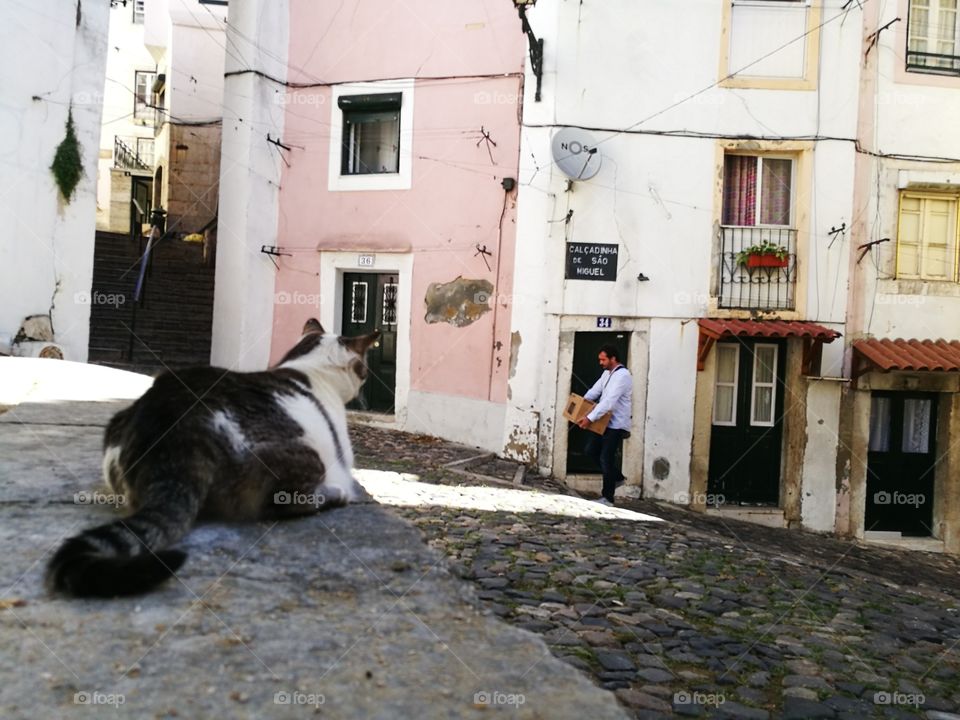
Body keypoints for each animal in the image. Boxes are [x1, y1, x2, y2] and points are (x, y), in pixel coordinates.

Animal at [46, 320, 378, 596]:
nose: (365, 383)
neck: (309, 369)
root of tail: (174, 430)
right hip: (302, 457)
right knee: (283, 502)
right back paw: (334, 495)